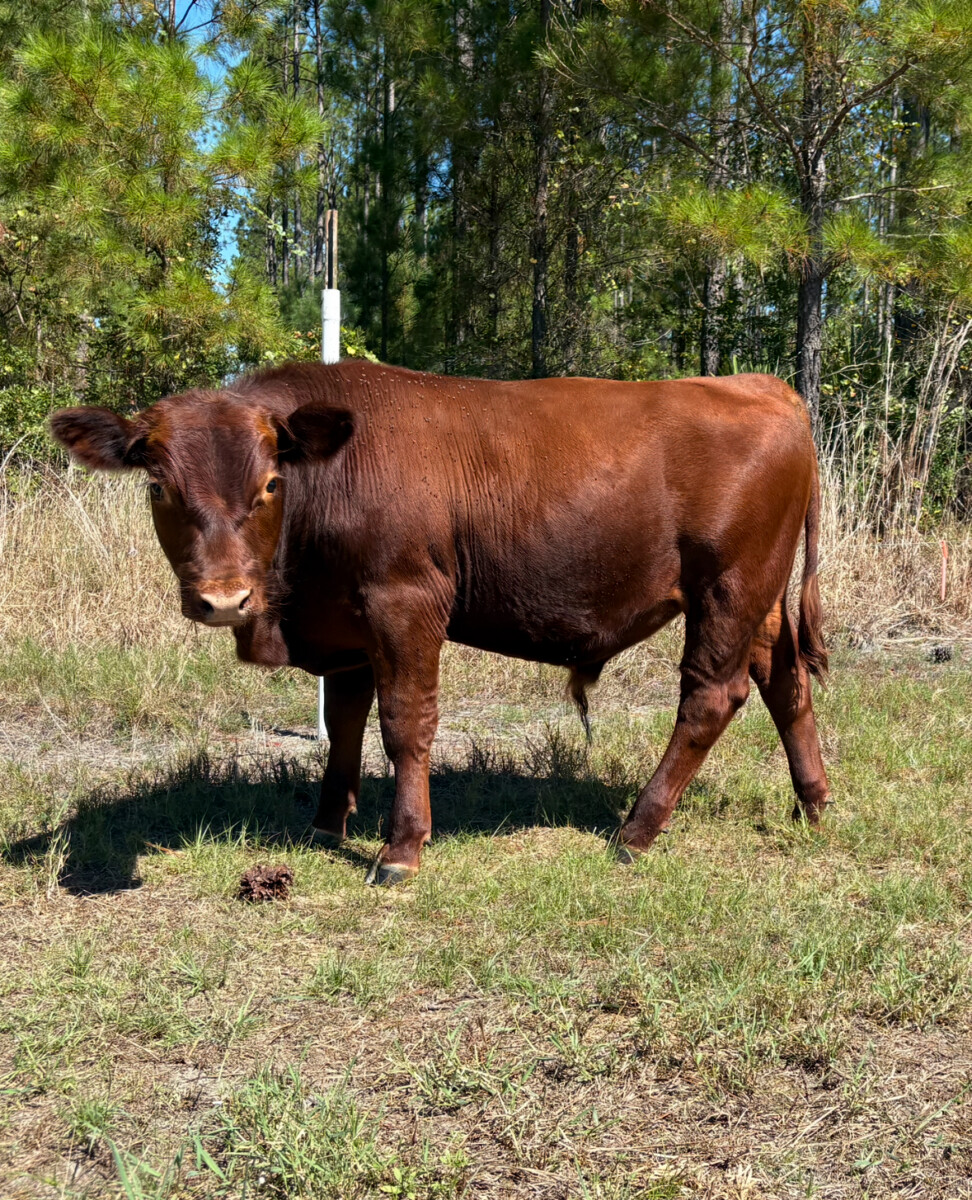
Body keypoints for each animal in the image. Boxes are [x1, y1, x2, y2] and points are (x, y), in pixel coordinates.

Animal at [51, 361, 830, 885]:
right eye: (159, 487)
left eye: (270, 483)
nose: (223, 599)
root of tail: (764, 386)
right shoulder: (348, 625)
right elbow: (346, 721)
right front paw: (326, 822)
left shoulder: (406, 602)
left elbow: (404, 722)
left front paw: (400, 848)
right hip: (756, 598)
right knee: (784, 683)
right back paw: (814, 804)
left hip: (727, 587)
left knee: (710, 697)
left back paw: (636, 831)